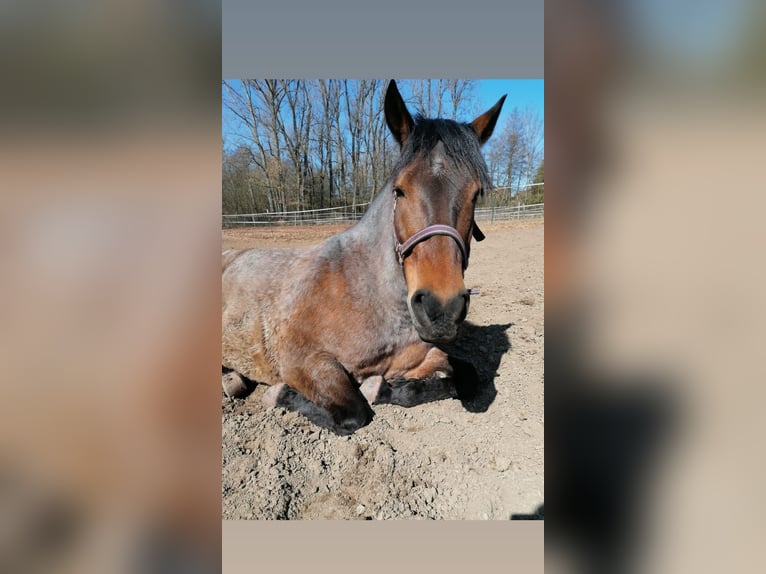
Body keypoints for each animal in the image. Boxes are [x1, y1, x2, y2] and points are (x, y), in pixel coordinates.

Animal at [222, 81, 508, 436]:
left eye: (476, 194)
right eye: (399, 190)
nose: (441, 309)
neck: (371, 296)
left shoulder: (420, 354)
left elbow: (467, 375)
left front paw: (386, 388)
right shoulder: (303, 361)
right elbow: (353, 413)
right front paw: (279, 394)